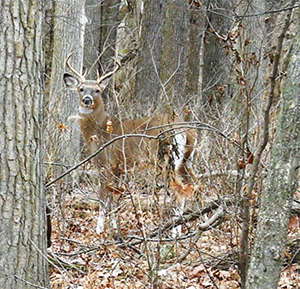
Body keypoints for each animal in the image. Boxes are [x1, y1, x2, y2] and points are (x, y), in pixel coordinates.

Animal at [63, 53, 197, 234]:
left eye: (98, 90)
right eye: (81, 89)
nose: (87, 100)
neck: (100, 130)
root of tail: (187, 130)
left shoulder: (106, 163)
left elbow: (103, 196)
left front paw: (99, 229)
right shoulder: (119, 168)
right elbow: (114, 196)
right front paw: (113, 225)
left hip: (167, 159)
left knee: (179, 190)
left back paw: (175, 231)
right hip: (186, 161)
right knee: (194, 186)